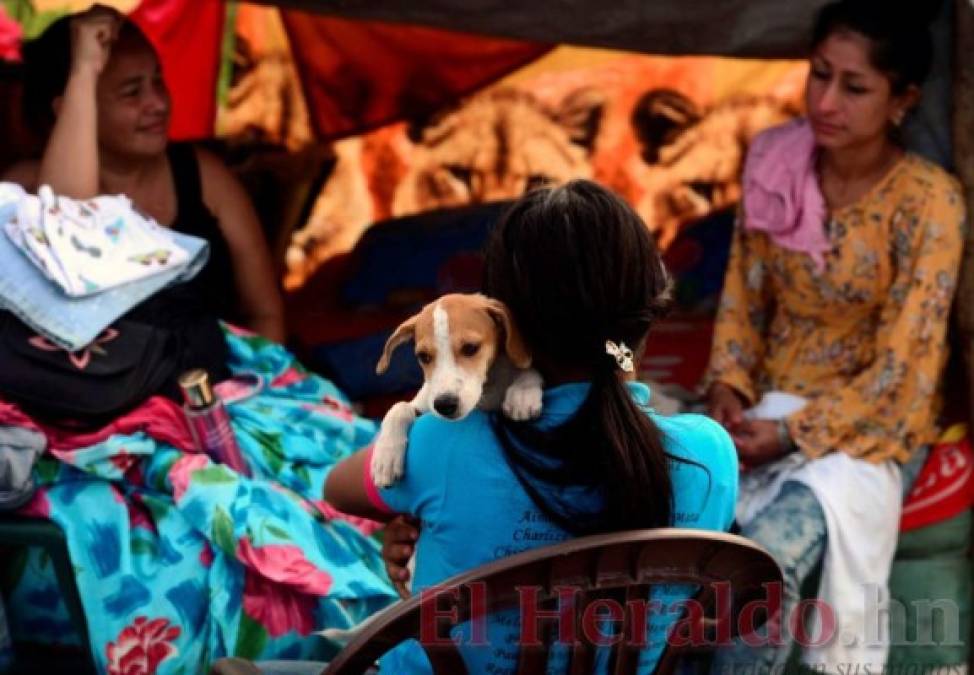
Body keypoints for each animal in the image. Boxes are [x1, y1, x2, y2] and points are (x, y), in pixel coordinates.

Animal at [370, 294, 544, 488]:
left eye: (470, 348)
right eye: (423, 356)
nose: (444, 405)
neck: (486, 388)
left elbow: (528, 370)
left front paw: (522, 394)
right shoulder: (424, 403)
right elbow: (398, 407)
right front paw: (386, 456)